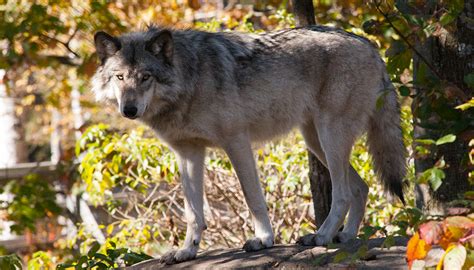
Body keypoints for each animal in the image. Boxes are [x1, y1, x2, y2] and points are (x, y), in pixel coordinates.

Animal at [90, 24, 406, 264]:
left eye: (146, 77)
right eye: (120, 77)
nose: (129, 110)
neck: (190, 79)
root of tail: (369, 44)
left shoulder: (237, 141)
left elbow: (252, 197)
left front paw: (264, 239)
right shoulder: (188, 152)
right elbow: (193, 211)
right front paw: (187, 250)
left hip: (329, 135)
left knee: (343, 193)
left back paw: (322, 236)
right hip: (315, 140)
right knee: (361, 187)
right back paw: (346, 236)